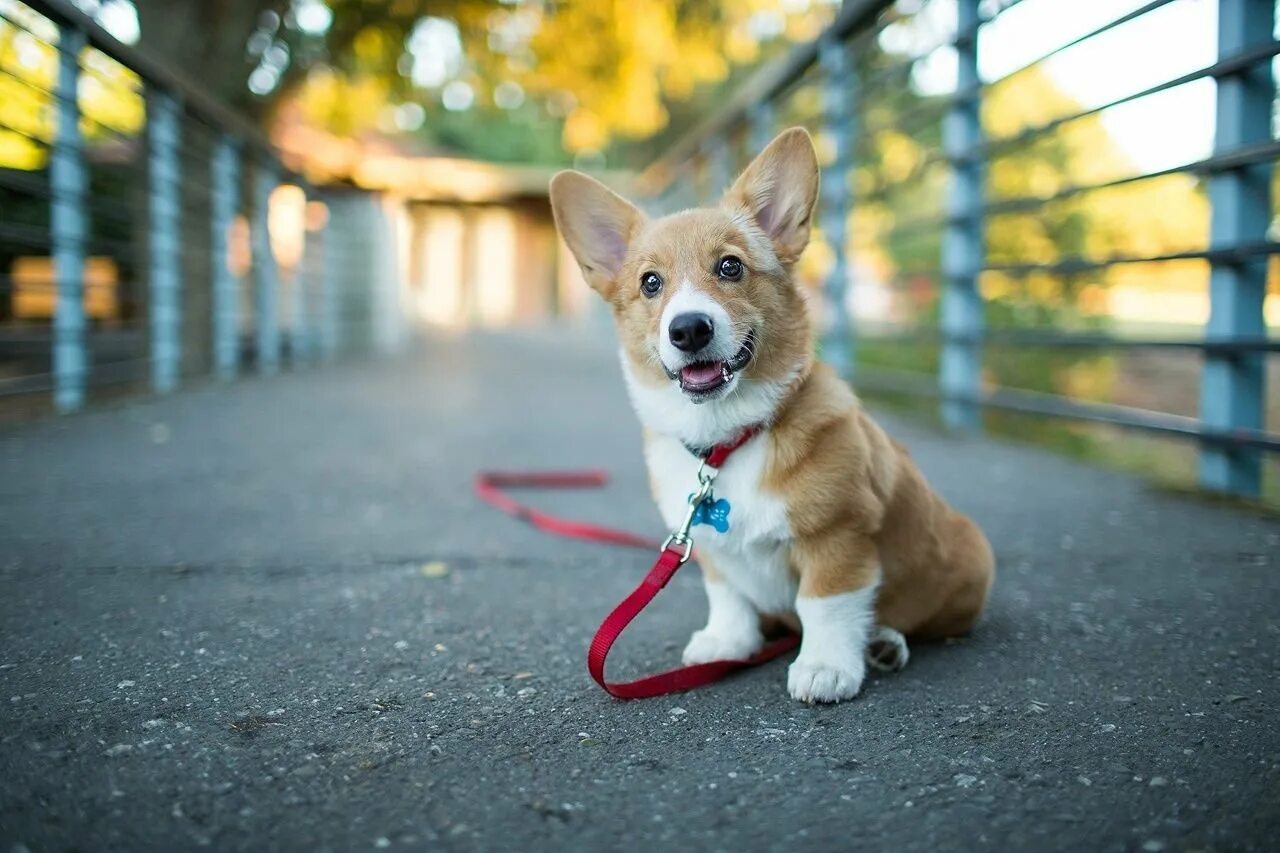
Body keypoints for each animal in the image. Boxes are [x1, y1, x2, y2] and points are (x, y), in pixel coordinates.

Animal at [545, 124, 993, 696]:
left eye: (730, 266)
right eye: (650, 282)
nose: (689, 329)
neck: (727, 438)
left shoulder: (837, 537)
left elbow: (825, 606)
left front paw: (825, 667)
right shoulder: (711, 552)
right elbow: (729, 598)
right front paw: (728, 643)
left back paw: (883, 642)